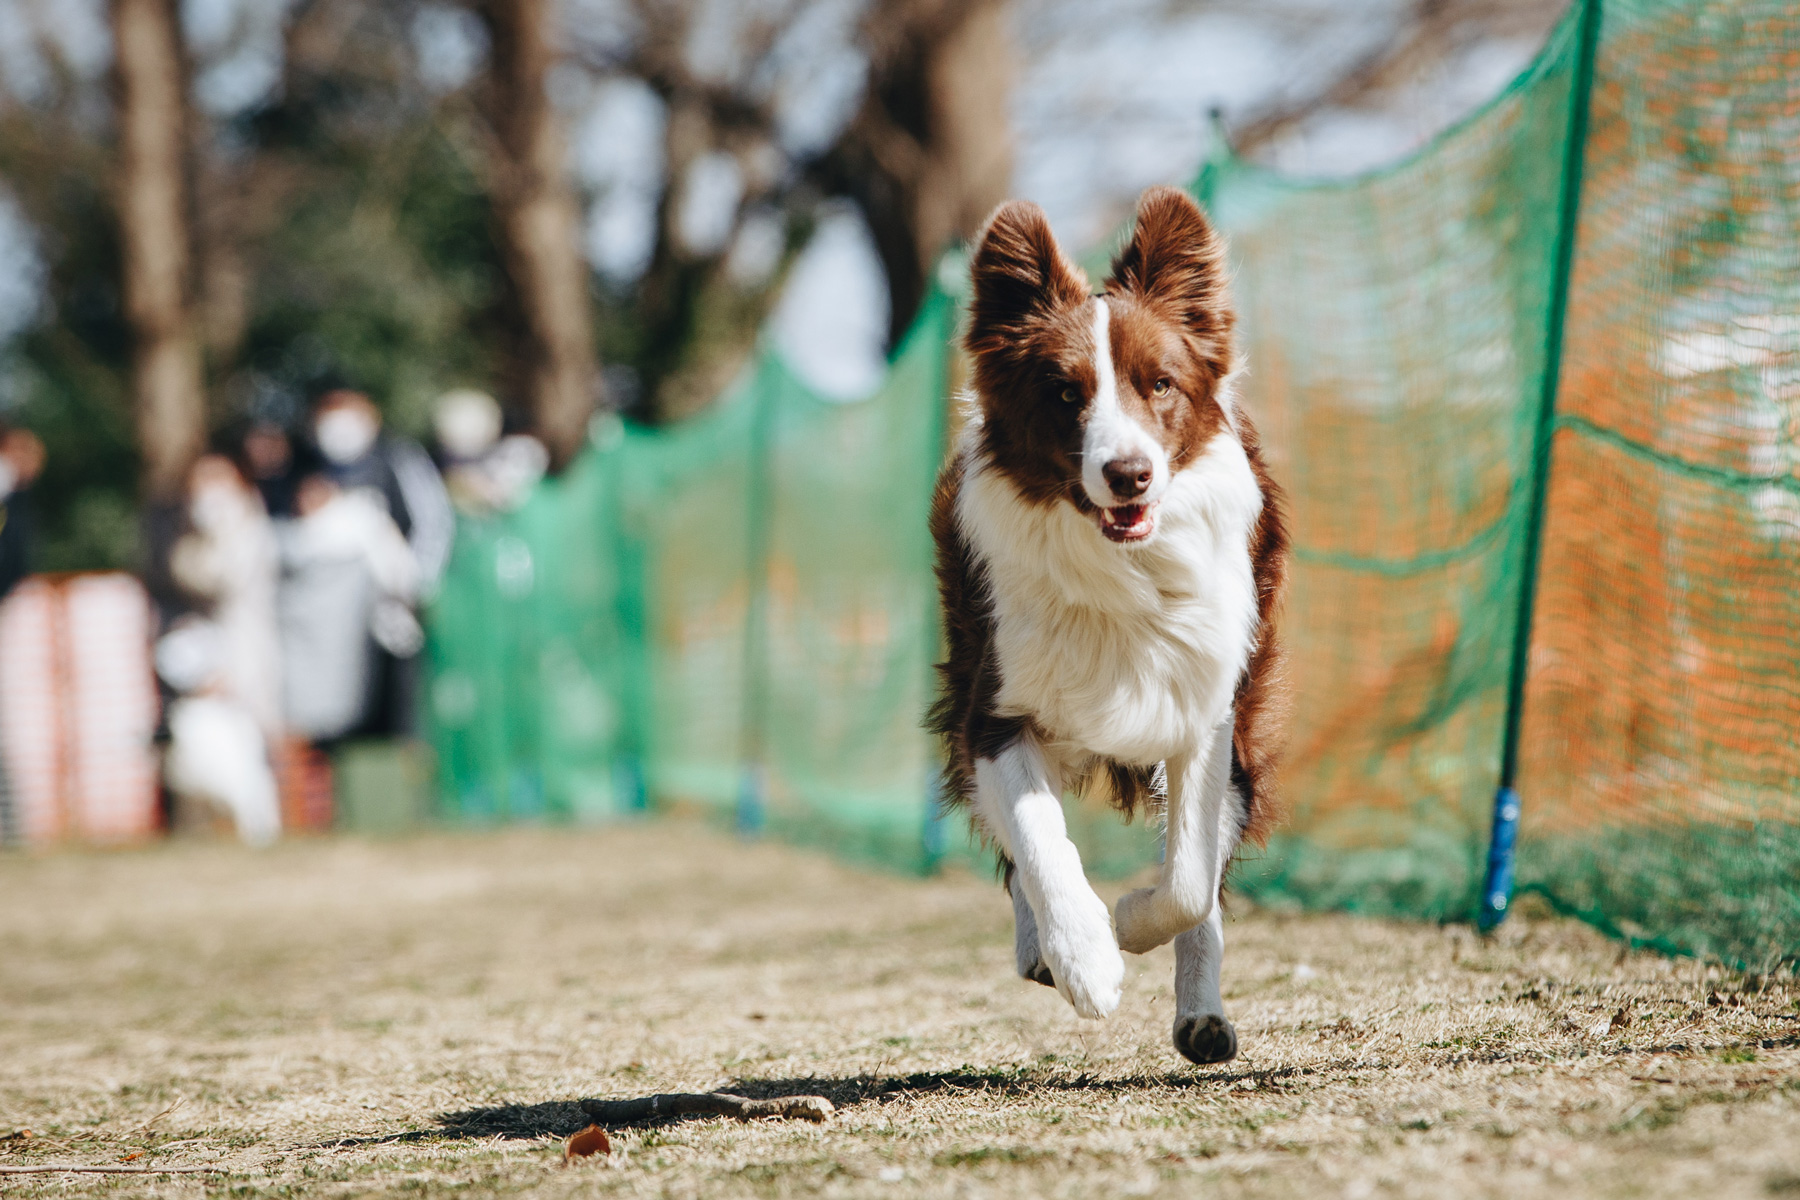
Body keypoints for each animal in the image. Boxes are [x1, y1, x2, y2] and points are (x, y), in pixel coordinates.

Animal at [928, 188, 1296, 1072]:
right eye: (1065, 394)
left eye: (1159, 384)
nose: (1128, 475)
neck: (1120, 564)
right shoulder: (995, 711)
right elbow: (1038, 839)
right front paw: (1086, 958)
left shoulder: (1209, 707)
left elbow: (1190, 878)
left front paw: (1128, 922)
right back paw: (1042, 949)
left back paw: (1201, 1015)